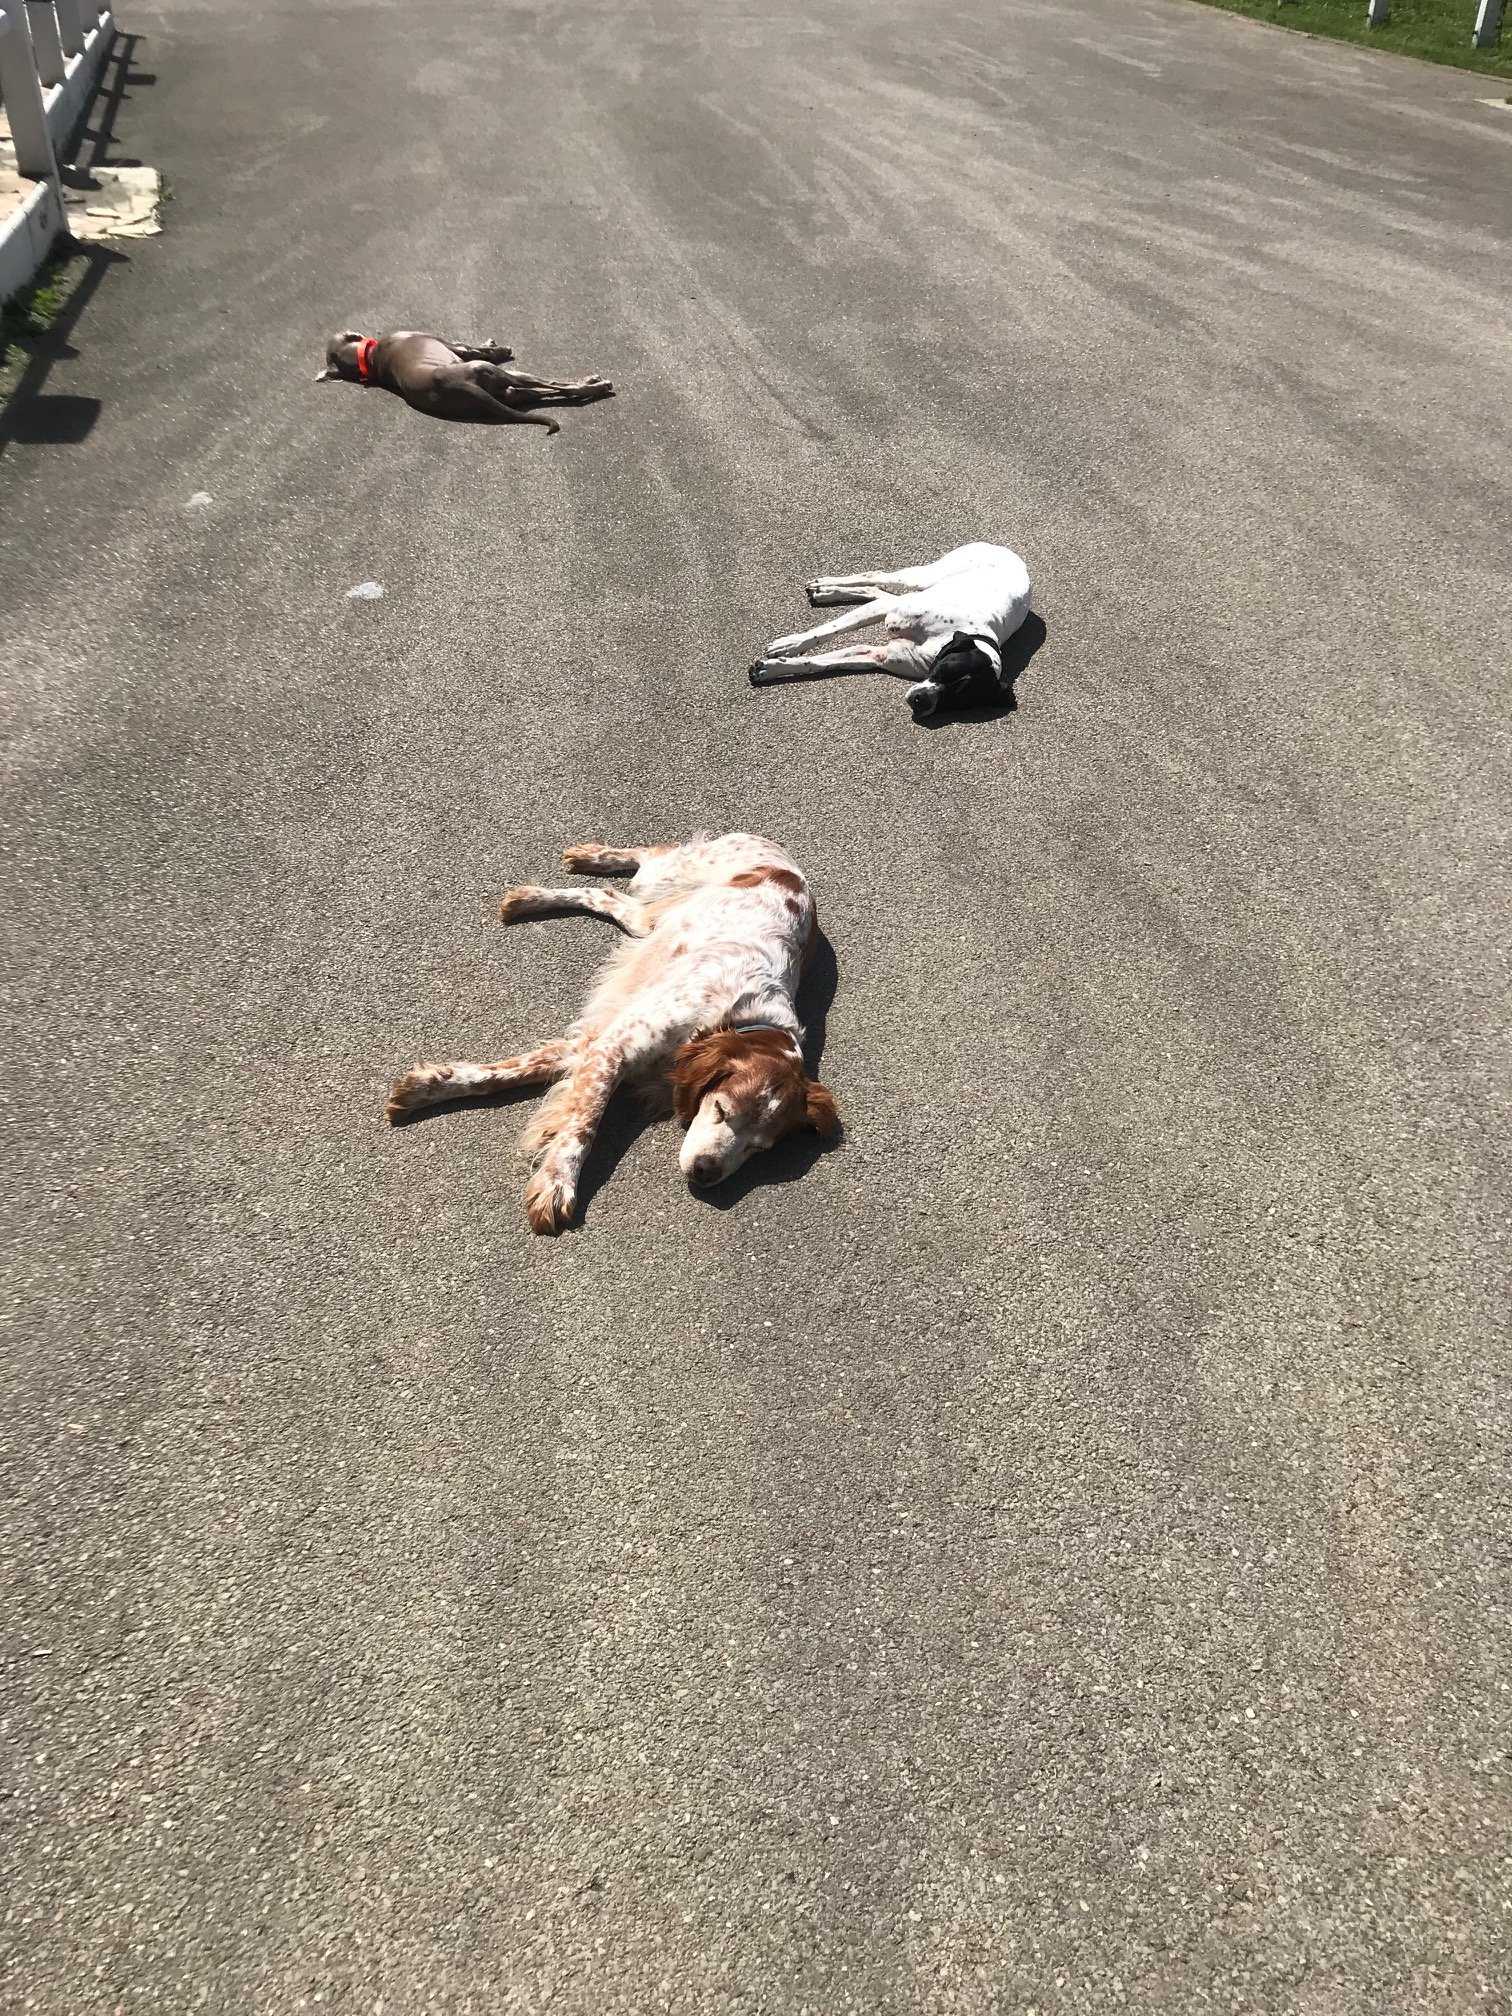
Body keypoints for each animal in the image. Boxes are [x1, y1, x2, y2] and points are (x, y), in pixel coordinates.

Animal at [316, 329, 613, 434]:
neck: (371, 357)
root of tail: (460, 386)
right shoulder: (453, 346)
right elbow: (474, 348)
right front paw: (498, 347)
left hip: (507, 391)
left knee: (534, 393)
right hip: (495, 373)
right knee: (558, 386)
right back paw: (594, 384)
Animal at [385, 833, 839, 1234]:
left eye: (758, 1148)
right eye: (721, 1110)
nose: (707, 1172)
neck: (739, 1019)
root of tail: (786, 861)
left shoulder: (598, 1042)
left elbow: (511, 1072)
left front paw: (428, 1086)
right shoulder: (613, 1048)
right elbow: (582, 1124)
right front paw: (557, 1184)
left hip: (649, 917)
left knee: (608, 896)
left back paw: (531, 895)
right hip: (668, 876)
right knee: (645, 856)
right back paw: (579, 864)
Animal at [749, 541, 1032, 718]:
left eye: (961, 699)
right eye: (944, 671)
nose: (922, 702)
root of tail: (1012, 554)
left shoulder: (876, 655)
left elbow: (819, 663)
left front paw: (772, 668)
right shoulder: (891, 613)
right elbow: (826, 632)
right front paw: (789, 645)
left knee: (875, 590)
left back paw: (826, 592)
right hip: (922, 578)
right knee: (875, 575)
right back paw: (826, 585)